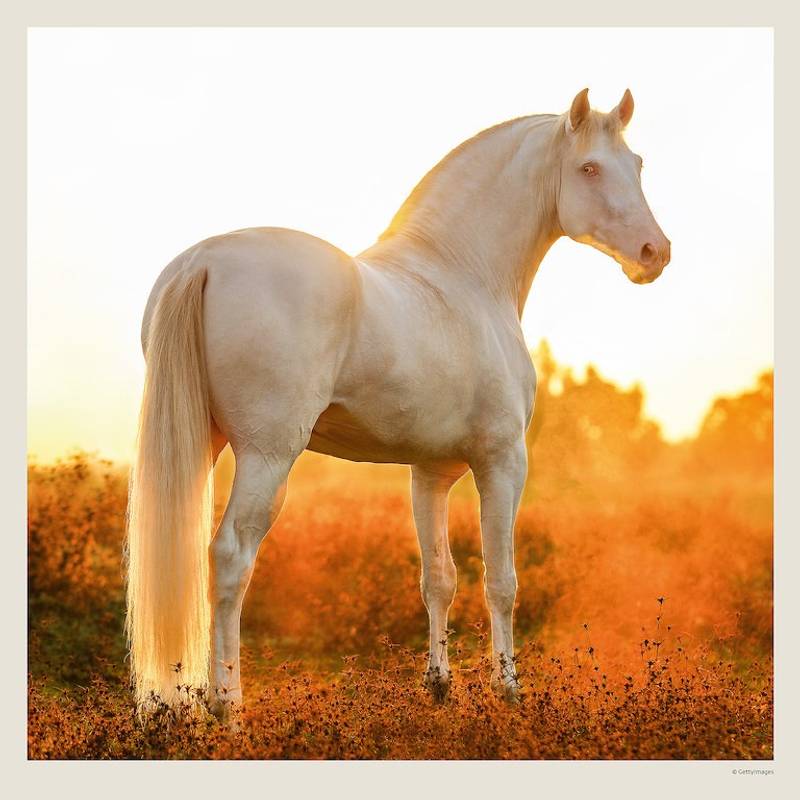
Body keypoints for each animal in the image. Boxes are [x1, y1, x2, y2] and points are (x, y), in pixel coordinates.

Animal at [125, 88, 670, 719]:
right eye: (589, 169)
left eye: (637, 164)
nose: (655, 253)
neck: (462, 278)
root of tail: (205, 260)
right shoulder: (503, 462)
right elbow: (502, 580)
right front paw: (507, 689)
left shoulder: (430, 472)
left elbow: (439, 577)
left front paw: (439, 685)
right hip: (267, 456)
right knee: (231, 556)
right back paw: (227, 706)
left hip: (200, 443)